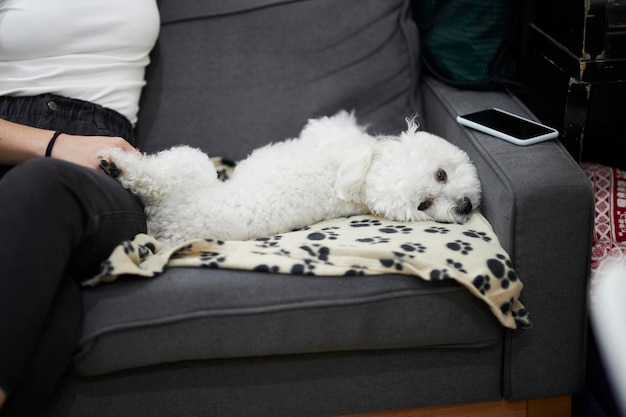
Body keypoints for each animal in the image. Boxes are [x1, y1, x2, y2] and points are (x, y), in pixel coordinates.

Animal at [97, 111, 480, 247]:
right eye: (440, 175)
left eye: (424, 205)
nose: (464, 206)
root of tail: (171, 225)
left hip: (188, 165)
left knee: (149, 176)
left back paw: (117, 164)